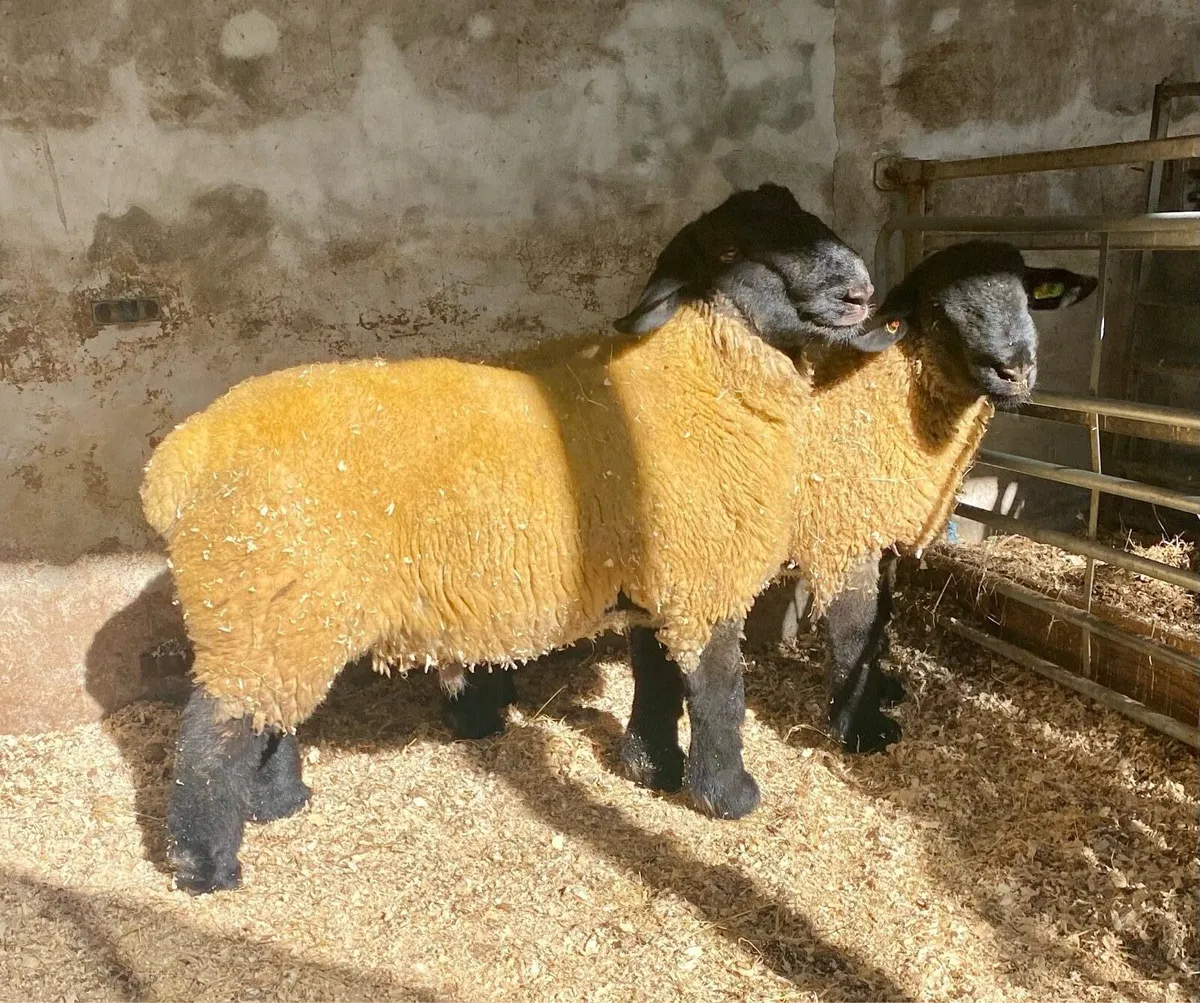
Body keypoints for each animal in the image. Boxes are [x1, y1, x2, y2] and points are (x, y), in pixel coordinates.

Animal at [142, 182, 902, 894]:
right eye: (733, 253)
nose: (860, 290)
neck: (686, 384)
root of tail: (178, 460)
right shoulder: (701, 579)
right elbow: (720, 693)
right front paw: (729, 796)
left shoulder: (657, 582)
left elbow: (656, 678)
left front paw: (649, 768)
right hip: (253, 607)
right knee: (210, 737)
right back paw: (206, 866)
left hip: (283, 615)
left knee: (267, 717)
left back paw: (281, 802)